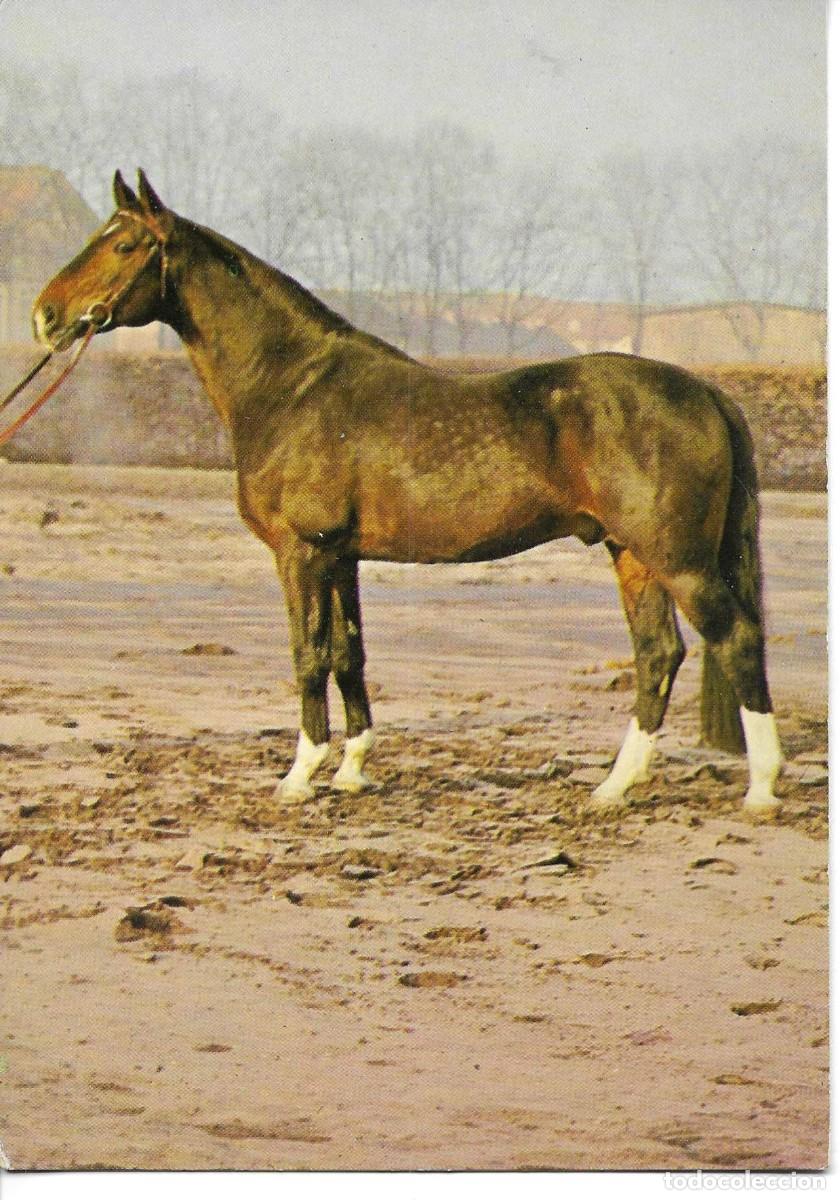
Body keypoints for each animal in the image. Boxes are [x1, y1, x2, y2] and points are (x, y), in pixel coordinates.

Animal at [31, 170, 783, 815]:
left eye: (123, 244)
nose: (44, 316)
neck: (292, 384)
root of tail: (706, 392)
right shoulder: (340, 557)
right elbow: (348, 653)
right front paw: (354, 770)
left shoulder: (302, 553)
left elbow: (308, 655)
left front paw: (300, 775)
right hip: (631, 555)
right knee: (658, 654)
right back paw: (614, 786)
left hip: (679, 561)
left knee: (737, 638)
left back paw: (762, 788)